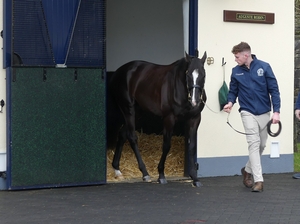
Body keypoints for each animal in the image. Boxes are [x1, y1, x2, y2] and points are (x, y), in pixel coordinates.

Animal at [109, 51, 207, 186]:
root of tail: (118, 72)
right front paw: (161, 175)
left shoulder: (194, 119)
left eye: (203, 74)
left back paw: (117, 169)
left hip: (138, 111)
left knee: (123, 134)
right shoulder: (169, 118)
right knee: (132, 137)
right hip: (128, 109)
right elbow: (166, 145)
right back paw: (145, 173)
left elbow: (192, 146)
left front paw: (195, 178)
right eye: (187, 74)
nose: (195, 101)